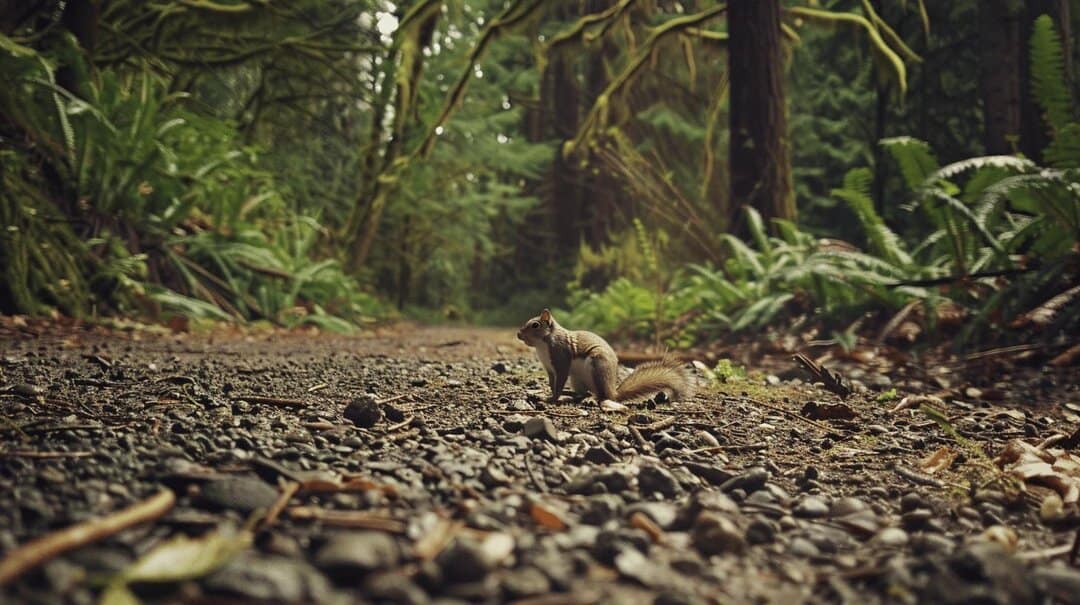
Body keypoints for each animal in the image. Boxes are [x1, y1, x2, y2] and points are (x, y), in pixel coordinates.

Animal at [516, 308, 692, 407]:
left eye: (535, 325)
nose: (518, 334)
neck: (542, 345)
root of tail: (612, 391)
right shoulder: (550, 369)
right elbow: (552, 384)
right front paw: (546, 395)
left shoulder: (561, 360)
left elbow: (558, 384)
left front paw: (552, 399)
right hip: (577, 379)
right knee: (582, 393)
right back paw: (571, 395)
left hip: (597, 367)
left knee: (601, 396)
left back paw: (591, 400)